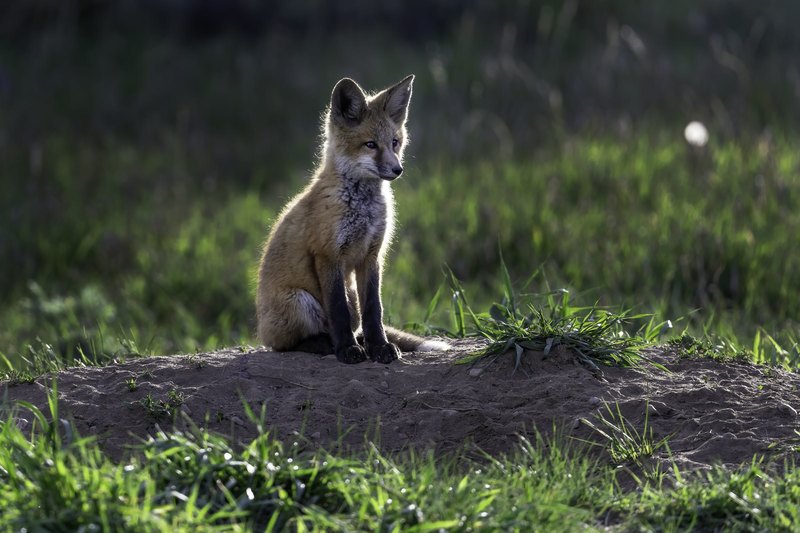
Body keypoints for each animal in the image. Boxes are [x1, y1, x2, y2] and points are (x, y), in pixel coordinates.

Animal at [256, 75, 450, 364]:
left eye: (394, 142)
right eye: (370, 144)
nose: (398, 169)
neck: (362, 207)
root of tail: (261, 327)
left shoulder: (372, 255)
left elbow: (374, 311)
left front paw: (379, 346)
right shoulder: (328, 255)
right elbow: (338, 312)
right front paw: (347, 349)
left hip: (350, 298)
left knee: (355, 321)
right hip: (301, 302)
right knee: (285, 345)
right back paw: (324, 344)